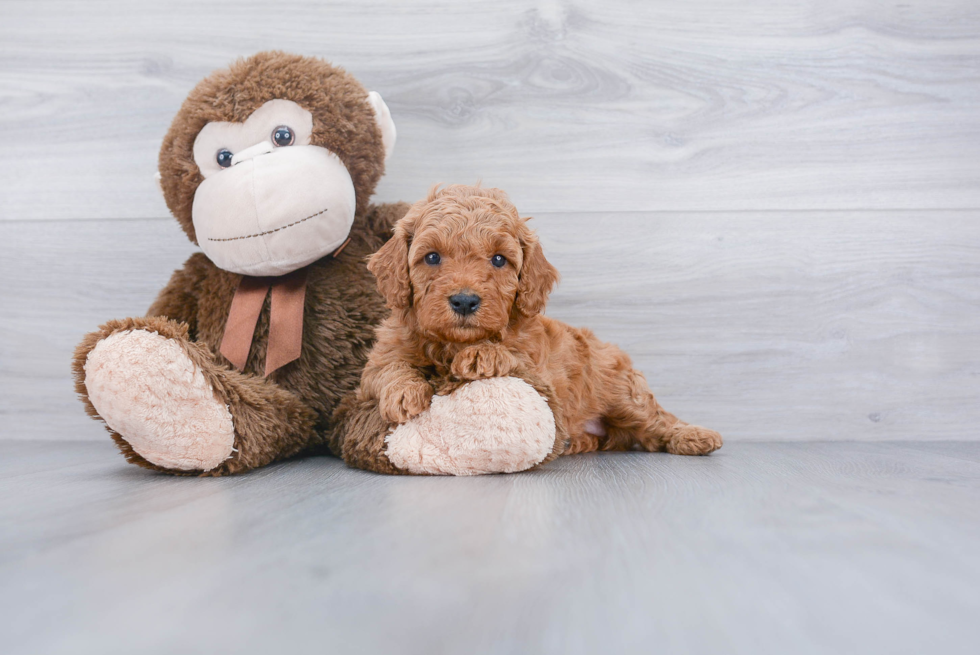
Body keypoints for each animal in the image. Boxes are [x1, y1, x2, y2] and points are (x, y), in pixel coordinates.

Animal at [354, 184, 720, 466]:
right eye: (431, 257)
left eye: (499, 259)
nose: (464, 301)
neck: (453, 343)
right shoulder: (376, 364)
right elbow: (390, 368)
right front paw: (404, 392)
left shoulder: (541, 373)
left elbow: (512, 355)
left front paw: (482, 355)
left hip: (624, 393)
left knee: (657, 420)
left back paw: (696, 435)